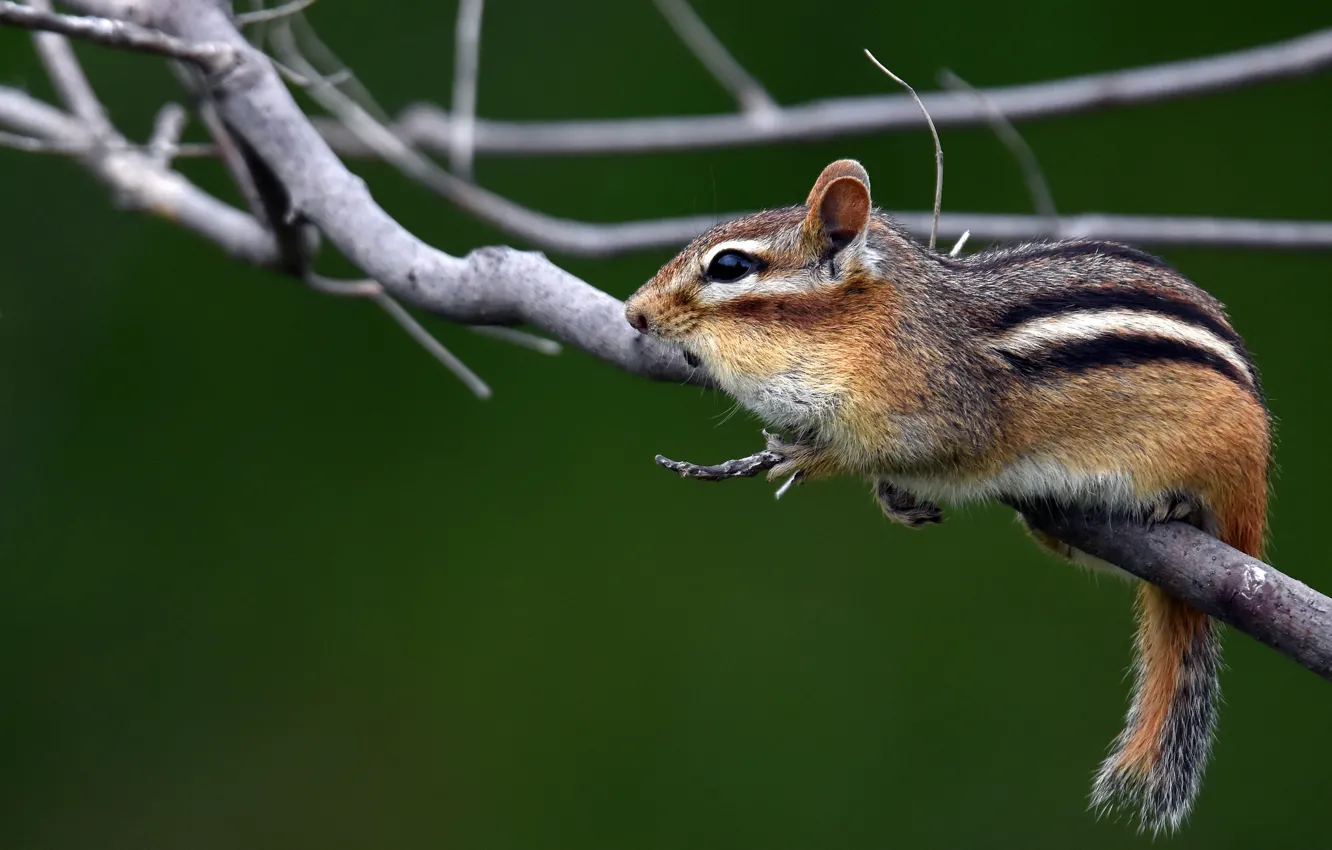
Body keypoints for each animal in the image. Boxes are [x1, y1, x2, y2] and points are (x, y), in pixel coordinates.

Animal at [623, 159, 1270, 834]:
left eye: (728, 266)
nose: (632, 314)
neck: (870, 323)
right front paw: (889, 497)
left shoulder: (941, 414)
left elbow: (892, 450)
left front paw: (807, 457)